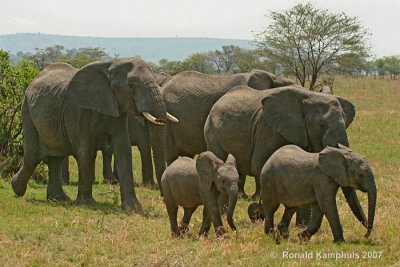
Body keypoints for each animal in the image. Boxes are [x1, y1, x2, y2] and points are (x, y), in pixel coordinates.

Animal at [11, 58, 177, 211]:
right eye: (131, 85)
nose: (163, 197)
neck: (110, 66)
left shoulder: (118, 109)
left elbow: (123, 150)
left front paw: (133, 208)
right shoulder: (78, 110)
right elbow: (86, 151)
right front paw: (87, 204)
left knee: (56, 157)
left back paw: (58, 199)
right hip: (26, 111)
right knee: (33, 156)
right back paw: (17, 189)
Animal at [205, 86, 368, 228]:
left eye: (345, 124)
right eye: (322, 125)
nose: (367, 229)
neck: (310, 96)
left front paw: (301, 226)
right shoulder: (269, 128)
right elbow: (260, 164)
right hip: (211, 133)